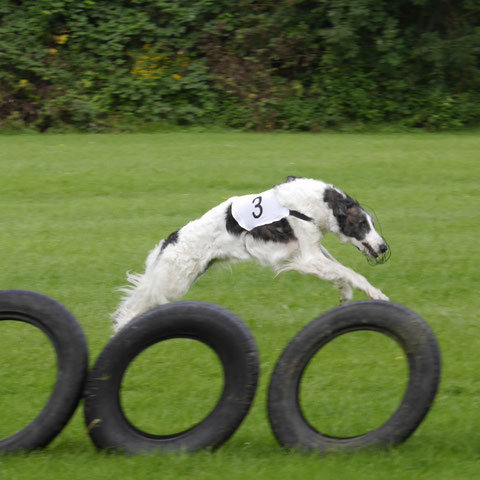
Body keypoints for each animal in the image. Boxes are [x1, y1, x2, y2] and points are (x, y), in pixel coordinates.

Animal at [112, 174, 390, 332]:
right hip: (173, 283)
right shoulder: (308, 255)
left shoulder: (312, 250)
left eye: (371, 223)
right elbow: (351, 273)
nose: (383, 247)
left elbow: (341, 272)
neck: (319, 203)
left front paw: (345, 294)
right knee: (131, 309)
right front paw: (378, 295)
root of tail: (170, 240)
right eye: (362, 224)